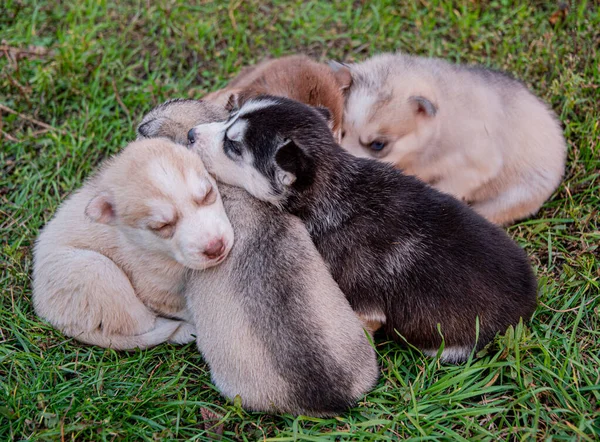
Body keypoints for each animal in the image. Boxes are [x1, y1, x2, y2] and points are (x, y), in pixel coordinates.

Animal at [31, 138, 234, 348]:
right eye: (162, 226)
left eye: (208, 194)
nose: (215, 247)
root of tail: (48, 312)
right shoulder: (154, 288)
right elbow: (180, 308)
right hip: (96, 272)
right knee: (140, 323)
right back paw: (184, 332)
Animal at [191, 96, 540, 362]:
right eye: (229, 117)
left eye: (233, 146)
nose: (192, 133)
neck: (333, 193)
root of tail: (528, 302)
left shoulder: (361, 299)